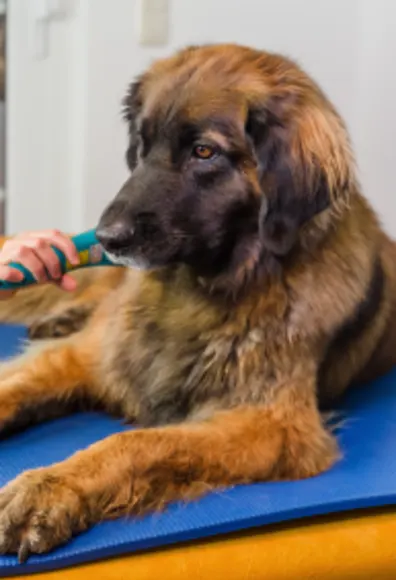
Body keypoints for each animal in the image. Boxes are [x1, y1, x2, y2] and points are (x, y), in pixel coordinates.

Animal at [0, 45, 396, 560]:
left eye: (204, 152)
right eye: (141, 144)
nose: (107, 238)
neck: (200, 291)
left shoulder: (269, 424)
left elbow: (137, 443)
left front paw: (47, 489)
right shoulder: (90, 356)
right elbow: (16, 385)